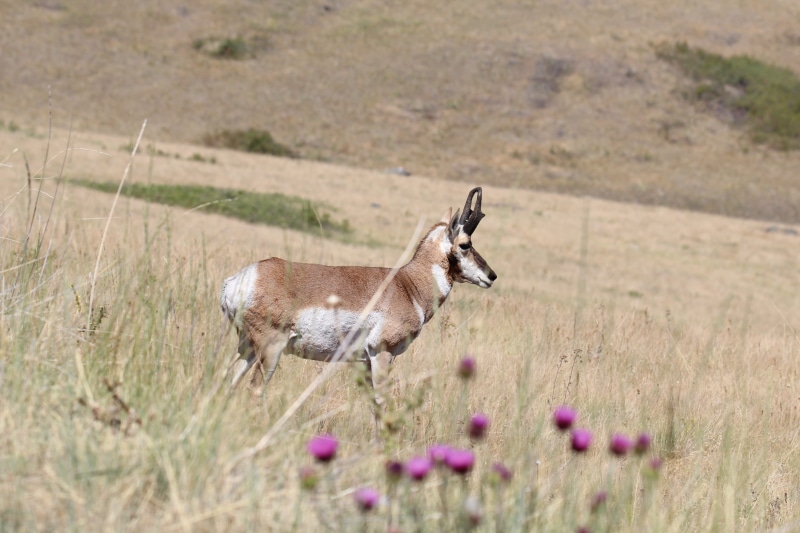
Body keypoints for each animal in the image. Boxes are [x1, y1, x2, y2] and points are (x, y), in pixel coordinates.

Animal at [219, 187, 497, 397]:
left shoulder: (365, 363)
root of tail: (239, 279)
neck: (408, 284)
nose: (491, 276)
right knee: (255, 389)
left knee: (226, 378)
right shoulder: (382, 354)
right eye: (465, 244)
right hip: (270, 349)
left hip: (247, 346)